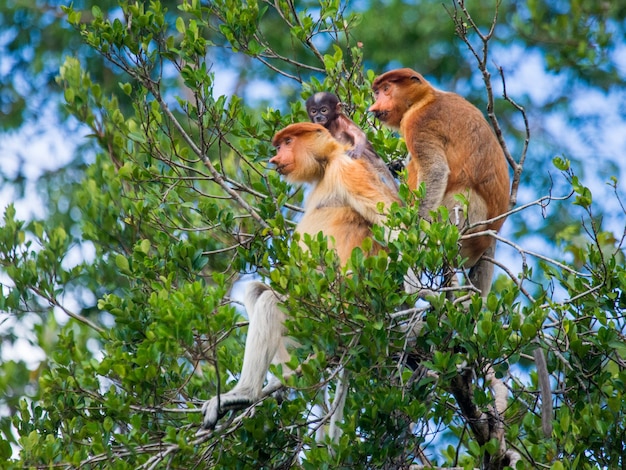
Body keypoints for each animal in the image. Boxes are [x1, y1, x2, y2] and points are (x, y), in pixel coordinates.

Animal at [205, 123, 400, 432]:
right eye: (278, 146)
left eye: (287, 142)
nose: (275, 159)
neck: (326, 163)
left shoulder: (347, 169)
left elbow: (397, 225)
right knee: (257, 292)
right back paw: (282, 380)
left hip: (331, 310)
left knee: (271, 303)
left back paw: (244, 395)